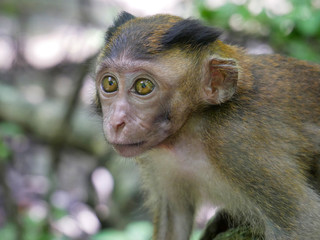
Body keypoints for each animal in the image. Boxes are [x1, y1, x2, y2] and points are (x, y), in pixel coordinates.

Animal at [92, 11, 320, 240]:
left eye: (143, 86)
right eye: (110, 83)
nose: (116, 122)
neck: (192, 130)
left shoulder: (236, 141)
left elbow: (301, 224)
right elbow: (175, 215)